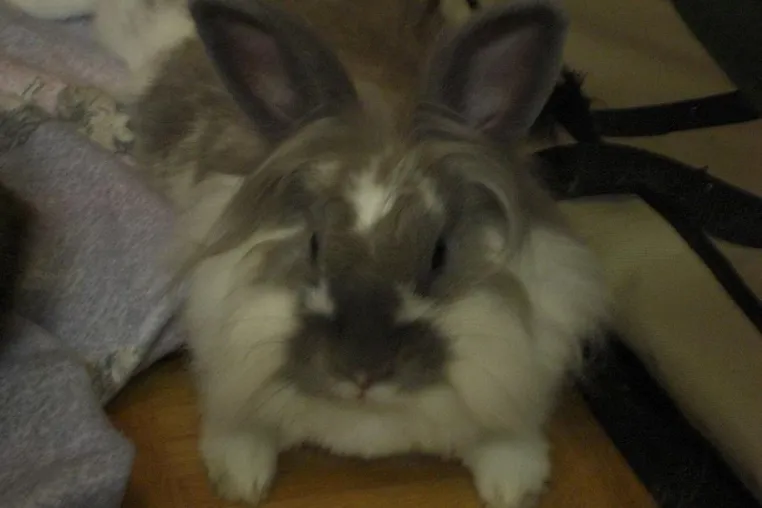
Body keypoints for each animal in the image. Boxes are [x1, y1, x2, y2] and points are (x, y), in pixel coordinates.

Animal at [8, 0, 610, 506]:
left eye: (439, 255)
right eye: (315, 244)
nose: (363, 372)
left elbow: (508, 437)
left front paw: (514, 484)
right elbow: (238, 425)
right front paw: (241, 478)